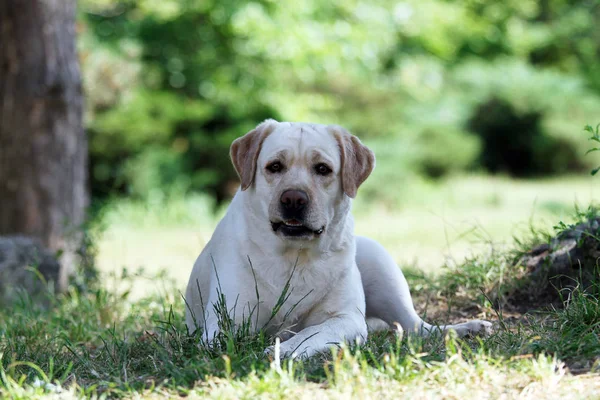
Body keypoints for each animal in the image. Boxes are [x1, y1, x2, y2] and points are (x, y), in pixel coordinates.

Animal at [184, 119, 492, 360]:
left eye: (322, 169)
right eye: (274, 166)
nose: (293, 199)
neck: (294, 256)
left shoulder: (346, 319)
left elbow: (309, 333)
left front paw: (284, 349)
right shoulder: (225, 320)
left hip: (380, 262)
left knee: (419, 328)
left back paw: (466, 328)